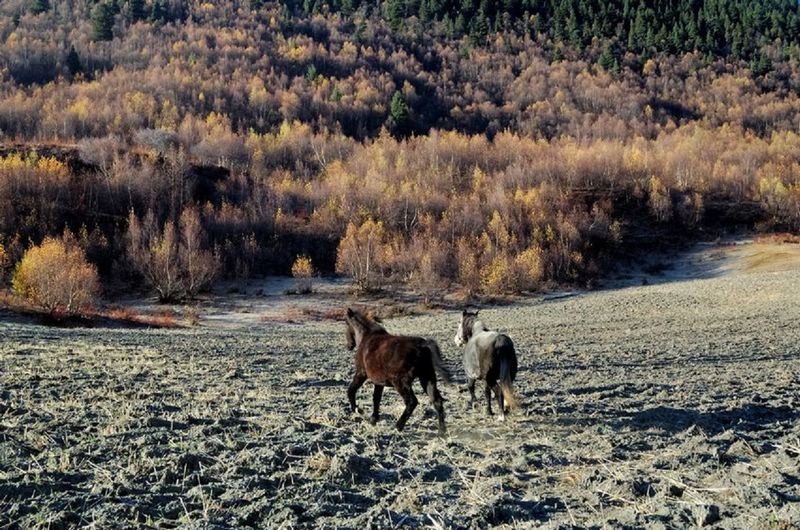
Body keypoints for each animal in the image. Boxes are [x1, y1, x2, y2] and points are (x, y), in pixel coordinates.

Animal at [344, 306, 450, 434]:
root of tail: (423, 344)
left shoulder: (361, 373)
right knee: (437, 401)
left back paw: (398, 426)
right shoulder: (379, 382)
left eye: (346, 324)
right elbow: (376, 398)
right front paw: (373, 419)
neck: (367, 336)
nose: (349, 346)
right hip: (427, 378)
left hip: (401, 382)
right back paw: (441, 432)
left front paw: (357, 410)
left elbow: (351, 390)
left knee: (412, 402)